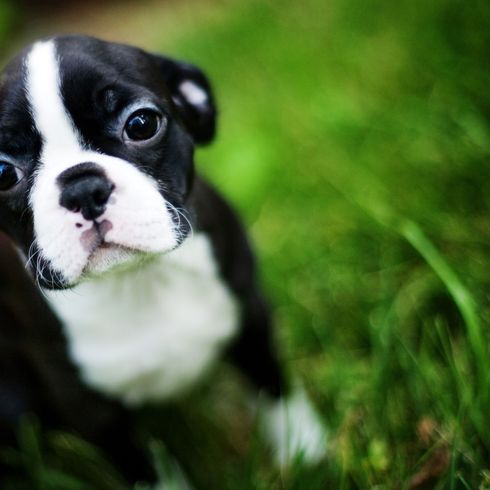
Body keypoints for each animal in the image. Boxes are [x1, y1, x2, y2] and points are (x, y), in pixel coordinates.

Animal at [0, 35, 326, 482]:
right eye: (2, 173)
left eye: (141, 124)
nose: (83, 188)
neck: (138, 280)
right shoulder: (91, 411)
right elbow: (143, 468)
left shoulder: (250, 315)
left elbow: (273, 384)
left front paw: (304, 451)